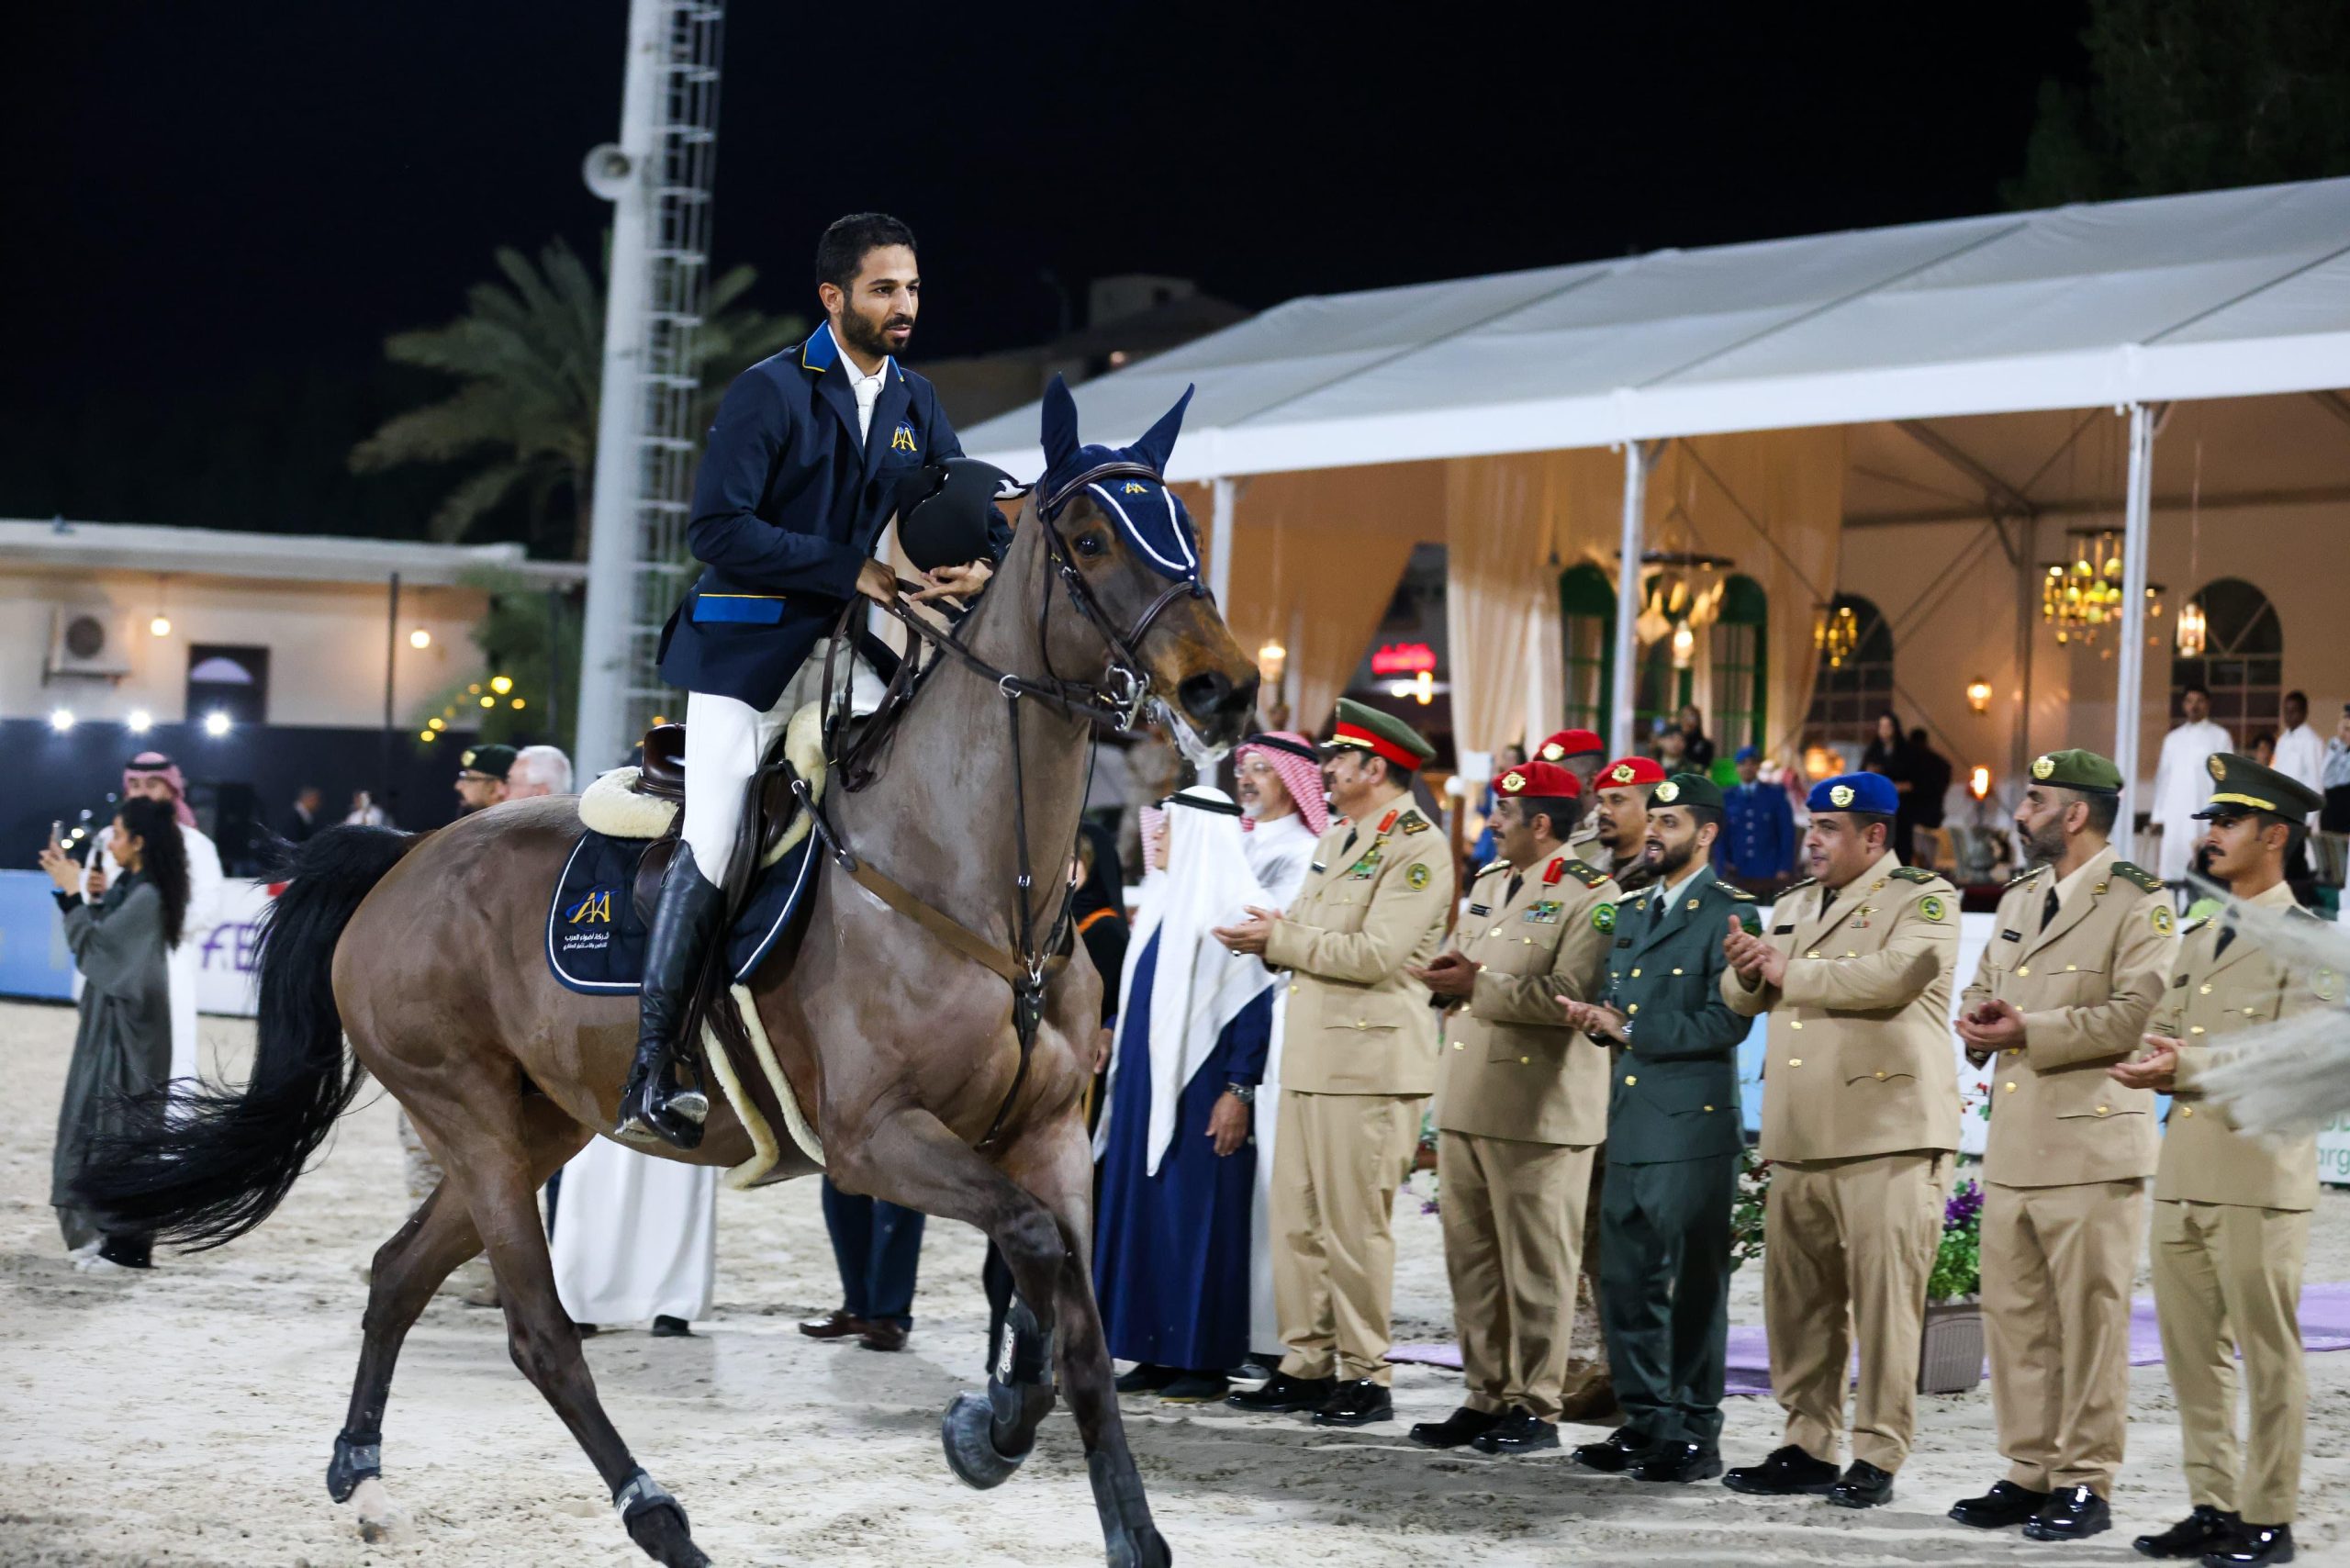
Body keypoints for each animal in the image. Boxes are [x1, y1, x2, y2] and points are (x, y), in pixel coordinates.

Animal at [79, 386, 1260, 1568]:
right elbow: (1033, 1251)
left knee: (398, 1272)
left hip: (540, 1124)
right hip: (471, 1120)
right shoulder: (877, 1138)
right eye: (1090, 538)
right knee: (538, 1333)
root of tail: (405, 854)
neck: (983, 886)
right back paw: (659, 1517)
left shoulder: (1052, 1134)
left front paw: (1106, 1508)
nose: (1228, 687)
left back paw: (363, 1476)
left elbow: (1073, 1313)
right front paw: (992, 1428)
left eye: (1187, 531)